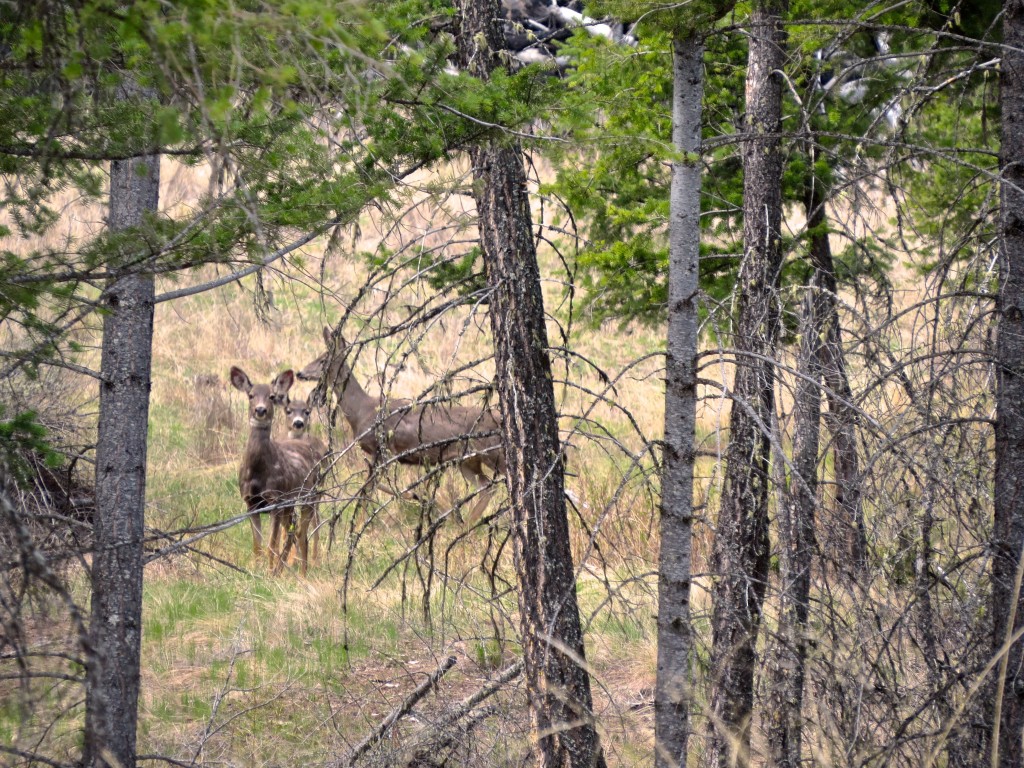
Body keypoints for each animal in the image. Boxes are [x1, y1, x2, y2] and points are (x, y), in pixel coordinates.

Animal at [233, 368, 321, 577]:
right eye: (250, 395)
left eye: (271, 397)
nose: (260, 410)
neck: (258, 473)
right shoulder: (251, 502)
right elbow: (257, 545)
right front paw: (258, 571)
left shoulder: (275, 499)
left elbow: (271, 544)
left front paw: (269, 572)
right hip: (290, 503)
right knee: (292, 531)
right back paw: (283, 569)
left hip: (309, 496)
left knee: (302, 533)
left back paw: (302, 573)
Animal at [296, 325, 503, 524]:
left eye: (323, 360)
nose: (300, 373)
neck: (361, 411)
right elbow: (371, 487)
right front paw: (422, 499)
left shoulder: (384, 450)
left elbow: (367, 490)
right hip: (467, 460)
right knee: (487, 487)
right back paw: (466, 525)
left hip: (492, 453)